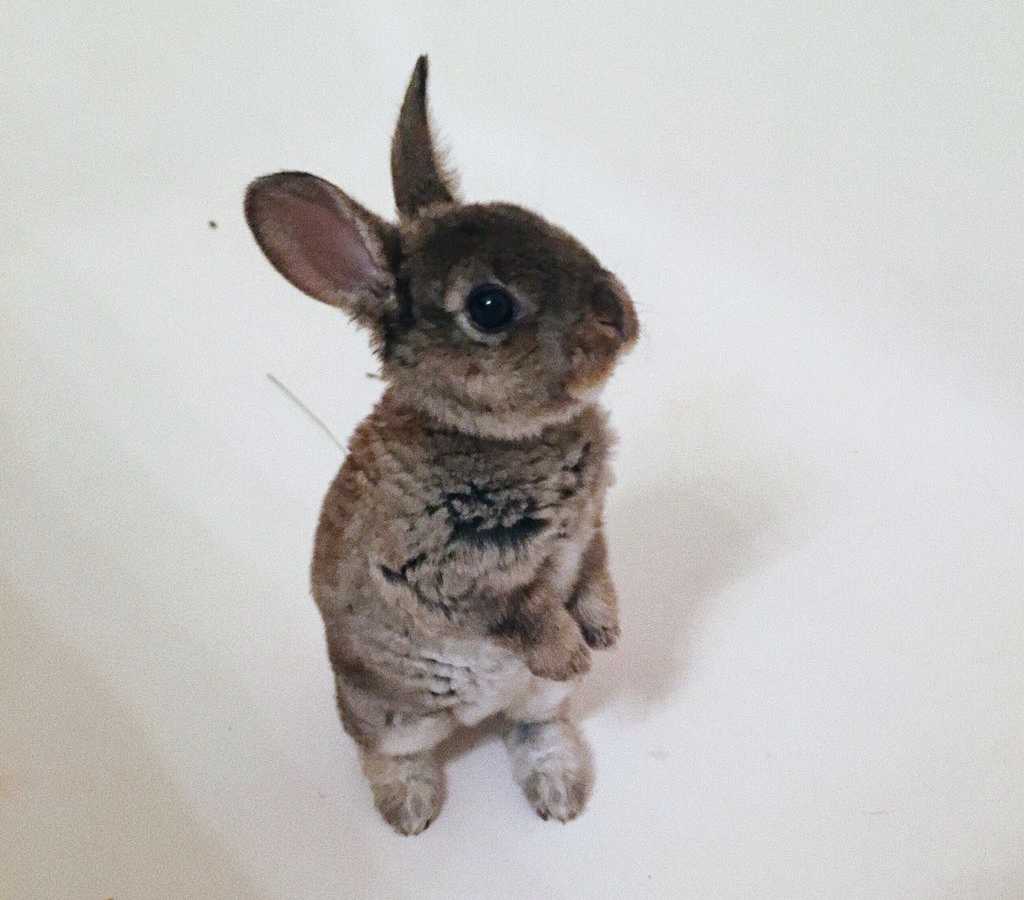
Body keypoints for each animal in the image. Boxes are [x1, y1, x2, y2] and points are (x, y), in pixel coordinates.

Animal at [243, 56, 634, 835]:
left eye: (545, 223)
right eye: (489, 307)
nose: (621, 319)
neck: (495, 435)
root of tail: (471, 723)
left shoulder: (591, 529)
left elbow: (595, 570)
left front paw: (604, 634)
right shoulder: (453, 574)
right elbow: (527, 613)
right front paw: (574, 656)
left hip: (528, 705)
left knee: (532, 726)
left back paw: (559, 793)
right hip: (390, 714)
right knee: (385, 754)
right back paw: (413, 811)